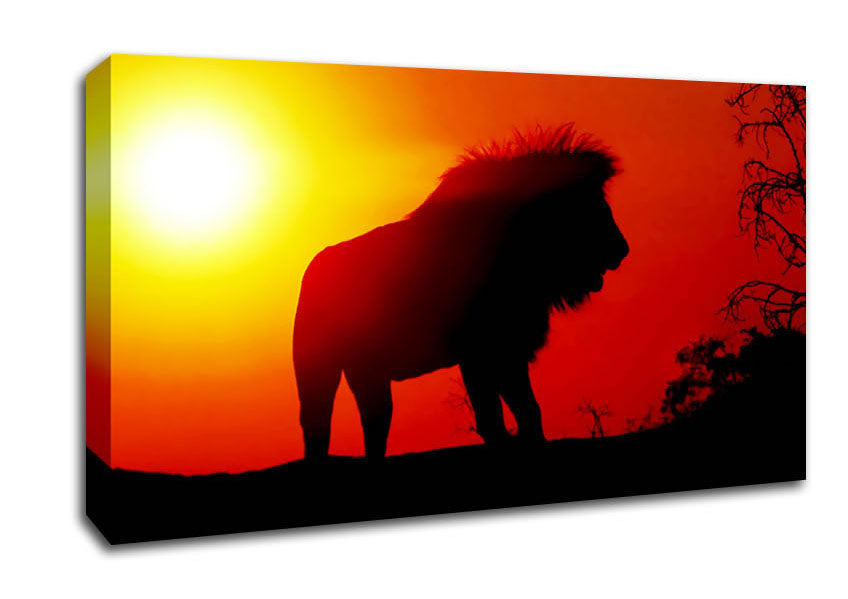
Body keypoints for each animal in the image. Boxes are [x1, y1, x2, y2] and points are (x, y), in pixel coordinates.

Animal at [293, 124, 629, 459]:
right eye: (589, 204)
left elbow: (527, 409)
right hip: (318, 368)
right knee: (317, 424)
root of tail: (312, 268)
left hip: (368, 371)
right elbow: (491, 415)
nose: (622, 249)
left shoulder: (509, 349)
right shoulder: (477, 353)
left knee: (375, 422)